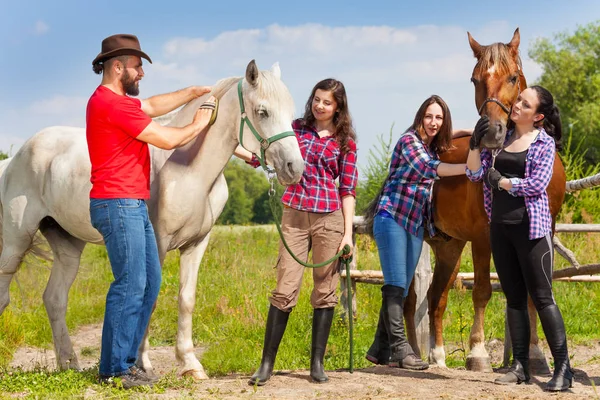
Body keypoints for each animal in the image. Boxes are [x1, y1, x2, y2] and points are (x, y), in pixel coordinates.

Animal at [0, 59, 302, 378]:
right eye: (263, 111)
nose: (294, 168)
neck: (189, 169)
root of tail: (15, 158)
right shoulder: (157, 241)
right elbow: (150, 296)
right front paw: (142, 363)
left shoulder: (196, 244)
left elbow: (186, 299)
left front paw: (190, 365)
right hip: (17, 242)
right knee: (6, 293)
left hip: (67, 245)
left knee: (55, 299)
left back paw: (69, 363)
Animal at [404, 28, 568, 372]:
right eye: (475, 79)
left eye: (513, 77)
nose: (491, 132)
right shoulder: (483, 236)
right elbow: (481, 290)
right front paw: (477, 352)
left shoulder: (544, 232)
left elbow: (533, 292)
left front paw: (536, 355)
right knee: (408, 298)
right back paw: (409, 353)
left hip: (449, 248)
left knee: (436, 298)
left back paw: (437, 356)